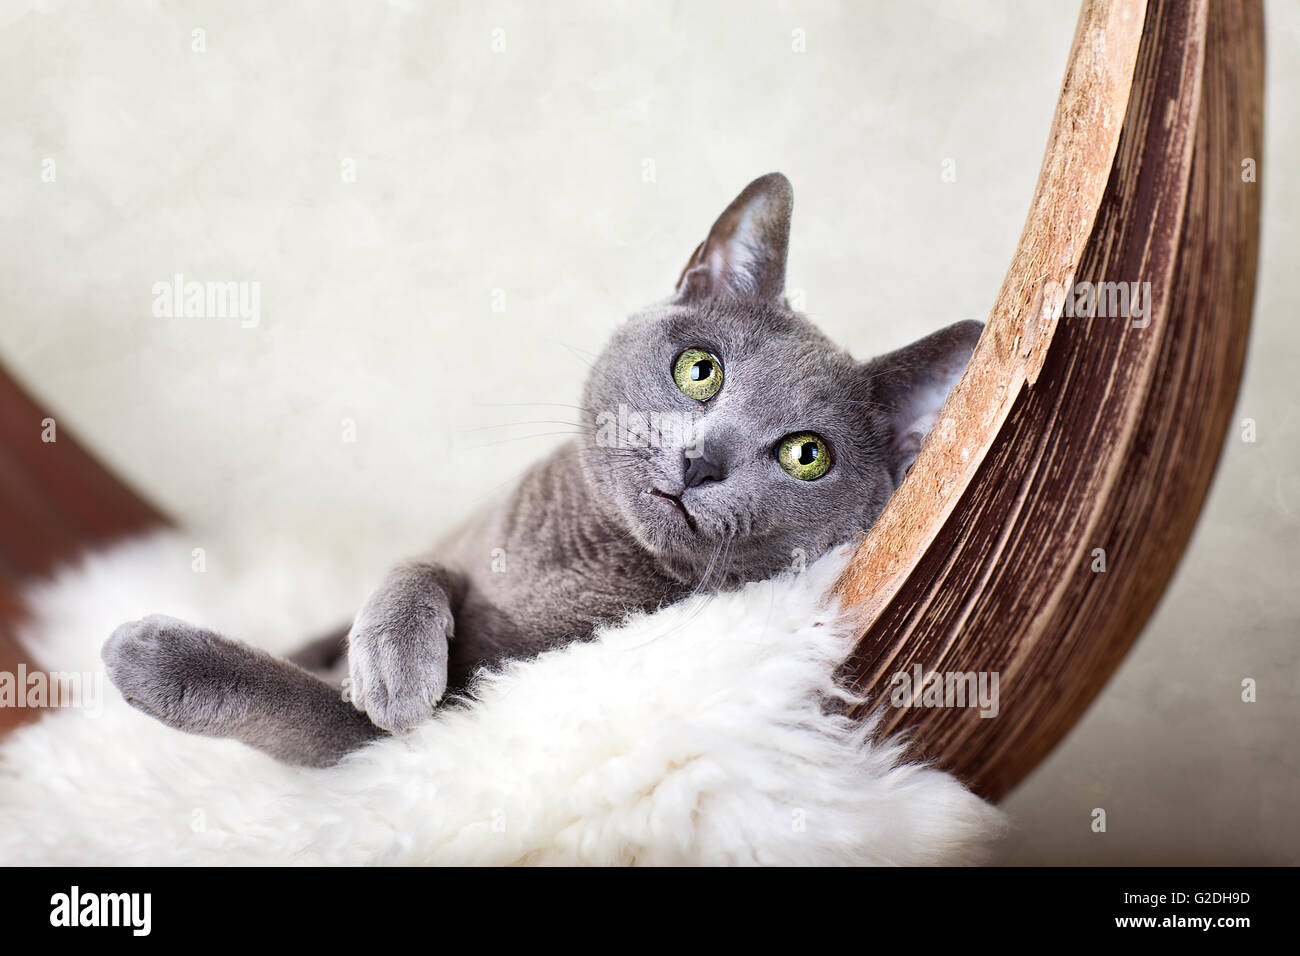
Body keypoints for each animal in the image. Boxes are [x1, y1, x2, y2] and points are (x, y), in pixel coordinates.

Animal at [98, 174, 977, 770]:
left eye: (806, 454)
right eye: (700, 370)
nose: (703, 459)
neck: (572, 549)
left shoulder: (459, 711)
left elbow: (317, 711)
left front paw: (154, 655)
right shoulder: (463, 536)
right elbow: (415, 568)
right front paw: (390, 656)